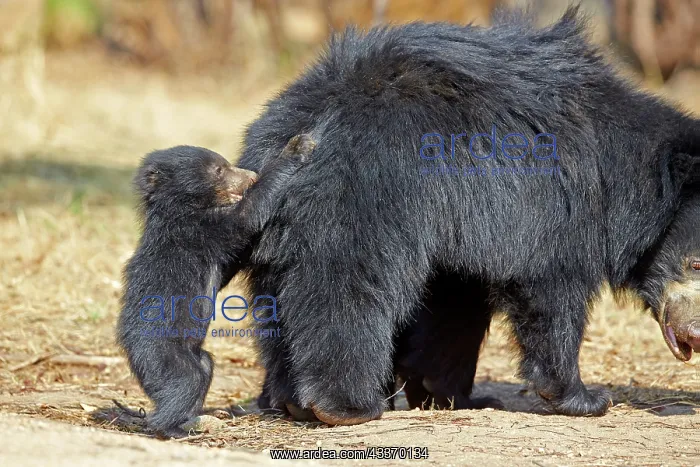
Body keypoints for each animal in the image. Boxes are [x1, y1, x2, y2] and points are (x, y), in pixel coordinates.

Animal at [117, 136, 314, 436]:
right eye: (220, 170)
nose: (250, 175)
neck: (182, 208)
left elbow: (231, 260)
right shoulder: (199, 229)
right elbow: (246, 216)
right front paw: (297, 146)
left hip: (190, 353)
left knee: (204, 367)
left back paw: (193, 418)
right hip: (162, 351)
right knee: (184, 382)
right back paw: (169, 427)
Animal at [235, 8, 700, 425]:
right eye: (694, 263)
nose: (695, 334)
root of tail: (309, 117)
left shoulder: (467, 226)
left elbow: (454, 306)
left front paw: (445, 393)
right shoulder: (556, 208)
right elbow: (551, 292)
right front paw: (584, 399)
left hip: (275, 215)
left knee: (277, 298)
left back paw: (288, 401)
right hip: (364, 193)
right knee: (347, 285)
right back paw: (346, 407)